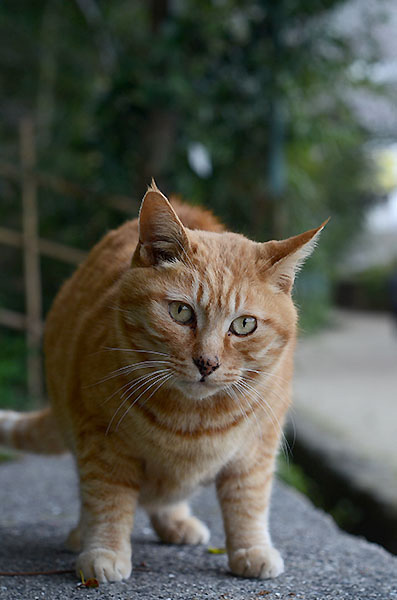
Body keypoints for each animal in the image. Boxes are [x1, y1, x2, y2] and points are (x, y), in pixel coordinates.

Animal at [0, 185, 324, 584]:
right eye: (181, 312)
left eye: (244, 325)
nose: (207, 363)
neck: (192, 422)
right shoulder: (101, 442)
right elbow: (107, 500)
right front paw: (104, 550)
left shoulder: (258, 448)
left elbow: (248, 501)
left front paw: (252, 550)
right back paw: (81, 534)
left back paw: (176, 522)